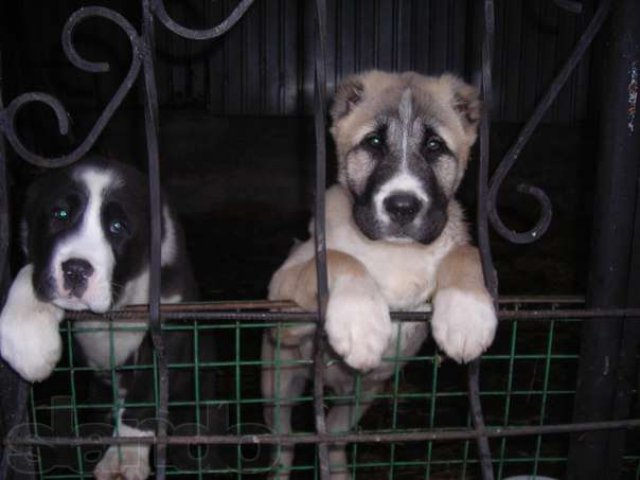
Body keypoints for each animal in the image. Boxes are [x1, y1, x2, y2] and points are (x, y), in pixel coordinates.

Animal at [0, 156, 209, 478]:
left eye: (117, 227)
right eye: (60, 214)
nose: (75, 270)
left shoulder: (172, 321)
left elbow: (147, 390)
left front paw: (125, 457)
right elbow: (31, 273)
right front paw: (29, 344)